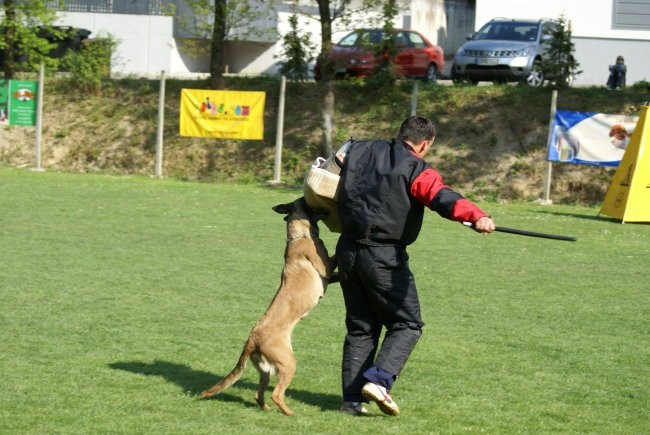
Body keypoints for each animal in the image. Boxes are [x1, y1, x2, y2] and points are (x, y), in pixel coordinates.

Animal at [200, 197, 336, 416]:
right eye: (307, 202)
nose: (324, 209)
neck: (298, 235)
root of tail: (251, 340)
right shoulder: (326, 267)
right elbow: (337, 256)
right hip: (288, 364)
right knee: (277, 394)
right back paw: (289, 413)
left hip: (267, 370)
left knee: (259, 394)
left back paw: (266, 409)